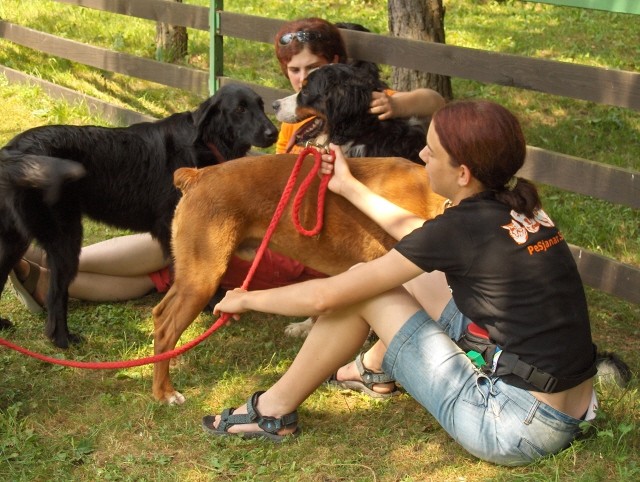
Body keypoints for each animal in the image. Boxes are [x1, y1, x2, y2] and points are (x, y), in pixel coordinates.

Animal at [1, 82, 278, 346]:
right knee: (56, 294)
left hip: (15, 241)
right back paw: (62, 340)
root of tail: (13, 151)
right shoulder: (175, 228)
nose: (273, 132)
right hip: (65, 238)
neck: (206, 143)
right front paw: (210, 305)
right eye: (240, 109)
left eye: (261, 106)